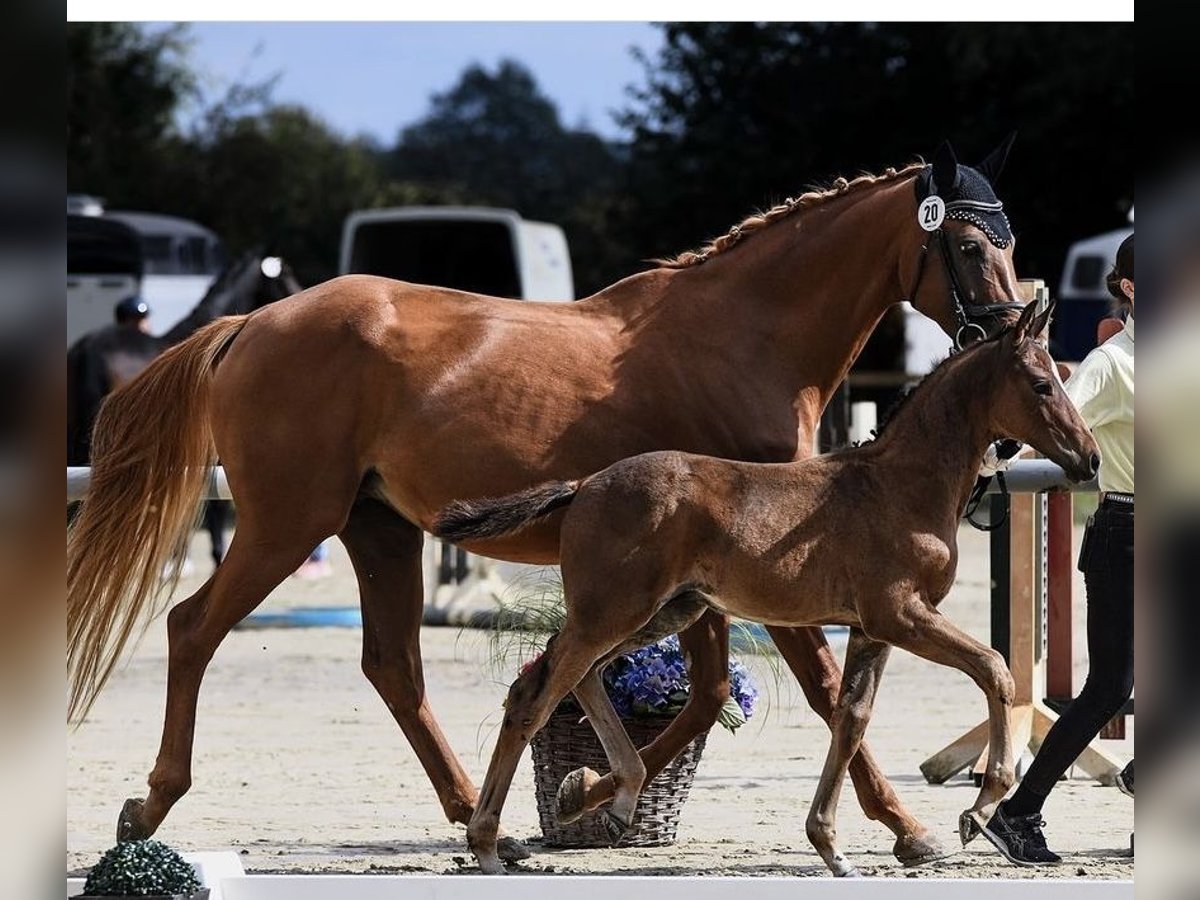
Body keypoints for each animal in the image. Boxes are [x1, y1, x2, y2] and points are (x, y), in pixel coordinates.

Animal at [70, 144, 1017, 864]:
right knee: (194, 628)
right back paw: (150, 807)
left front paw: (584, 792)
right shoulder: (758, 574)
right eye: (971, 248)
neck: (745, 336)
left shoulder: (705, 578)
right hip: (284, 524)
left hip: (379, 531)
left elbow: (707, 692)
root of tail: (250, 327)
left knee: (394, 667)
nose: (1008, 332)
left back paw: (479, 819)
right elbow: (818, 690)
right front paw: (907, 827)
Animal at [432, 300, 1099, 878]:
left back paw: (614, 803)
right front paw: (978, 810)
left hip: (663, 612)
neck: (901, 485)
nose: (1089, 459)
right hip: (611, 612)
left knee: (579, 678)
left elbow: (851, 718)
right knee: (537, 696)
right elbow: (996, 669)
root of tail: (584, 484)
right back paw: (489, 845)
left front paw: (832, 847)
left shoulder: (871, 629)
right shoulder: (902, 614)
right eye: (1042, 384)